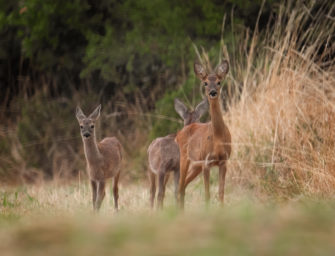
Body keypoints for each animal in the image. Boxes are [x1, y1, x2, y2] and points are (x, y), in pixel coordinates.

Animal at [175, 61, 232, 209]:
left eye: (219, 82)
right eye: (205, 83)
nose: (212, 92)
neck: (217, 137)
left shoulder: (224, 161)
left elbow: (221, 193)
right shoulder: (207, 162)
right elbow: (207, 195)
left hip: (196, 165)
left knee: (183, 186)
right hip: (185, 158)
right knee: (179, 186)